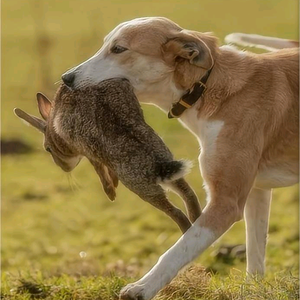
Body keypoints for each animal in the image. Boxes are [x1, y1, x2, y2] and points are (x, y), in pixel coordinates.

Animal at [14, 78, 202, 233]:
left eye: (48, 149)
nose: (64, 168)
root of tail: (158, 165)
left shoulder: (89, 152)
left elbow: (99, 169)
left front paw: (110, 193)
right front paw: (114, 185)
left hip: (142, 187)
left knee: (176, 213)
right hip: (169, 167)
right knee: (189, 194)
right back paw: (196, 219)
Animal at [60, 17, 298, 298]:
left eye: (118, 49)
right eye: (105, 44)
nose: (66, 78)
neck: (207, 86)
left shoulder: (226, 203)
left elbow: (177, 251)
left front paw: (142, 287)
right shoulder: (257, 192)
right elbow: (255, 253)